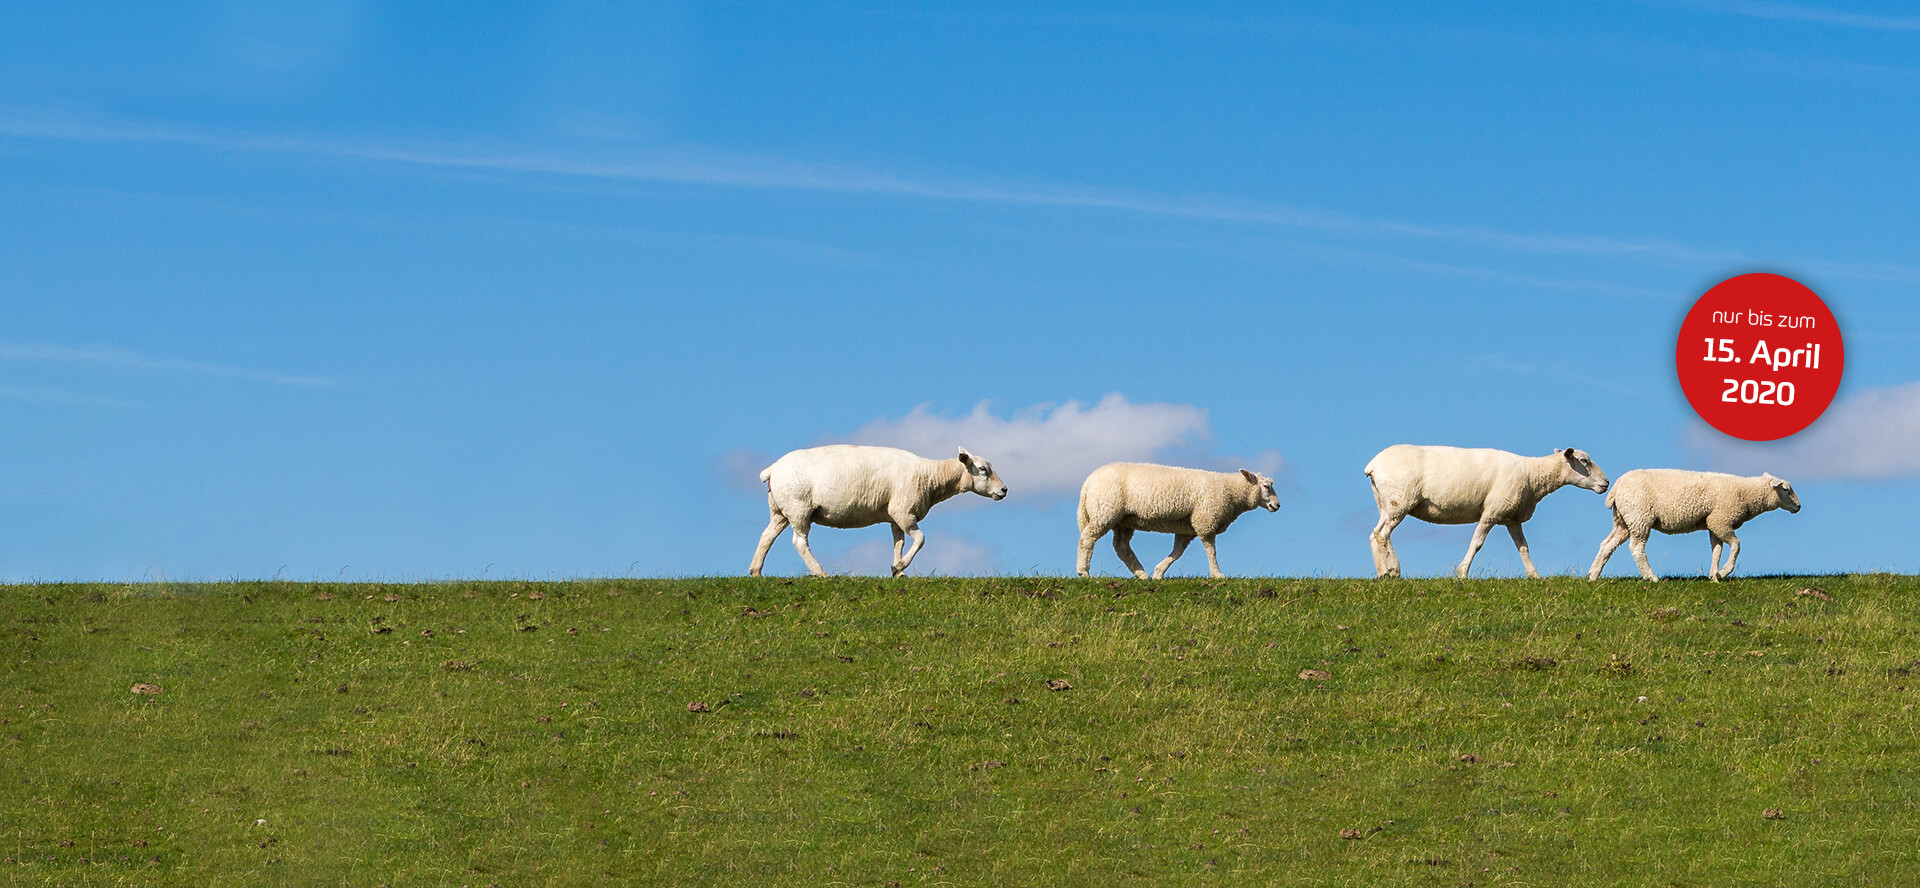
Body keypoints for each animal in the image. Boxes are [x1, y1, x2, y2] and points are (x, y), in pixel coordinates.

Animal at [744, 444, 1006, 575]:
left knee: (766, 536)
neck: (930, 476)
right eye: (983, 470)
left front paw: (898, 571)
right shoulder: (903, 511)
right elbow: (921, 539)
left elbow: (899, 543)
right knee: (799, 541)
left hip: (781, 510)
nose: (1004, 490)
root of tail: (772, 469)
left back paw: (756, 571)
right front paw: (900, 567)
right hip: (799, 508)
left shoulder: (895, 517)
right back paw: (820, 573)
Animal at [1075, 462, 1282, 579]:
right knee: (1087, 539)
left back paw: (1142, 575)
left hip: (1123, 520)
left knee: (1121, 547)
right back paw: (1083, 572)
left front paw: (1158, 573)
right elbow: (1211, 550)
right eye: (1266, 486)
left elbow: (1178, 552)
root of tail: (1087, 483)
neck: (1230, 491)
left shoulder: (1186, 528)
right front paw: (1217, 574)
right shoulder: (1205, 520)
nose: (1277, 505)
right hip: (1105, 512)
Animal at [1359, 443, 1612, 575]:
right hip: (1400, 501)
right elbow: (1477, 543)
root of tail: (1373, 465)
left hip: (1387, 503)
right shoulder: (1492, 511)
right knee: (1382, 535)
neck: (1533, 475)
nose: (1607, 483)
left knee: (1375, 535)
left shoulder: (1512, 518)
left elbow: (1523, 548)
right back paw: (1390, 571)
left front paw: (1534, 575)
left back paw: (1386, 571)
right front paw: (1462, 572)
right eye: (1584, 461)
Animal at [1589, 466, 1797, 583]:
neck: (1745, 494)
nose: (1799, 506)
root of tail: (1615, 488)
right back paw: (1652, 577)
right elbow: (1736, 546)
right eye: (1786, 490)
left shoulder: (1713, 523)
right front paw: (1725, 571)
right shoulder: (1721, 520)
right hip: (1640, 516)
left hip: (1624, 520)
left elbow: (1716, 549)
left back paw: (1593, 575)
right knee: (1637, 548)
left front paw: (1714, 576)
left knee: (1607, 545)